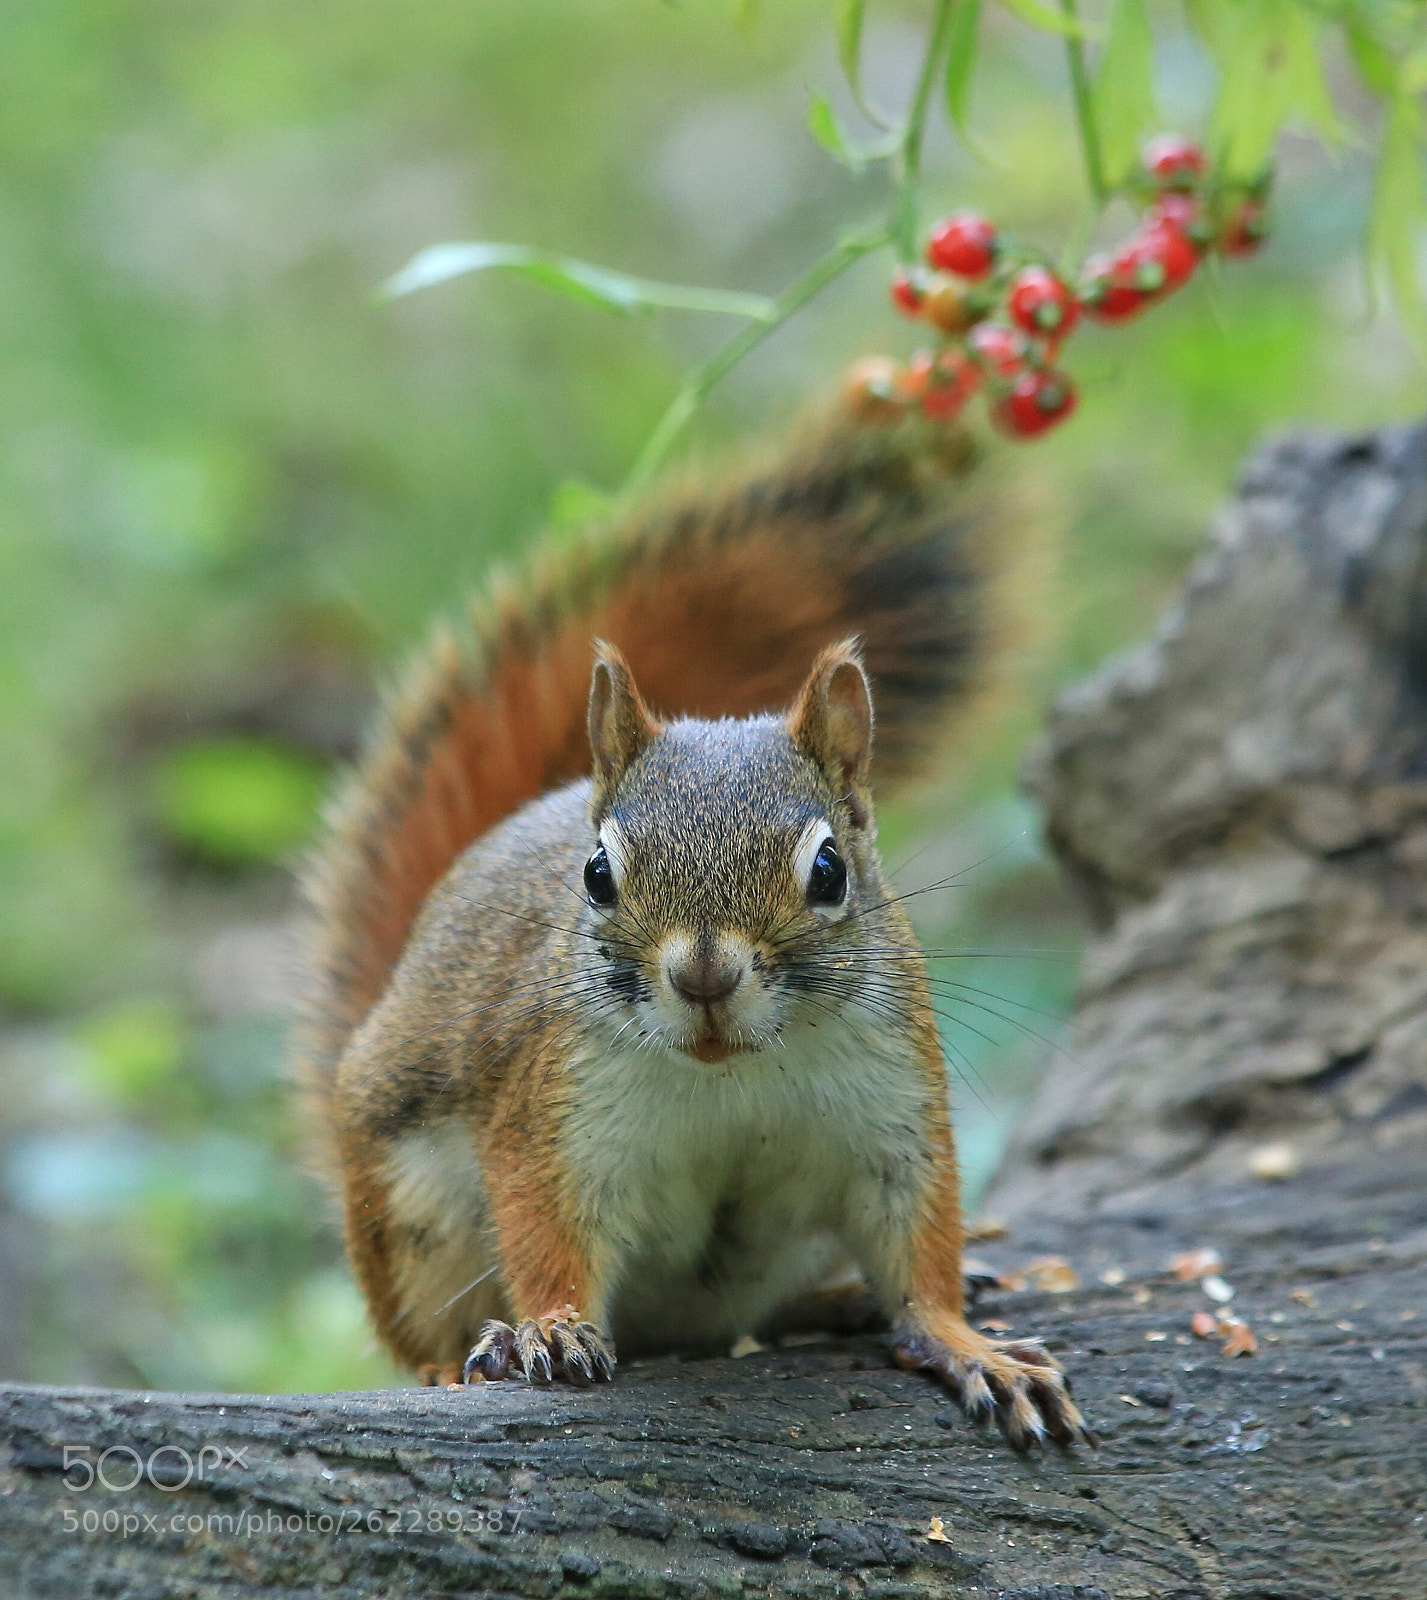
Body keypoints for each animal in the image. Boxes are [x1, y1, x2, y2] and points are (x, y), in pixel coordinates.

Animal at [297, 412, 1086, 1450]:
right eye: (596, 876)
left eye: (829, 872)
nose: (704, 979)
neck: (733, 1077)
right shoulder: (551, 1114)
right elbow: (545, 1232)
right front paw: (549, 1329)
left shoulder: (891, 1110)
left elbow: (918, 1249)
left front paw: (968, 1344)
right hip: (411, 1216)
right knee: (419, 1332)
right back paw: (453, 1365)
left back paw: (838, 1300)